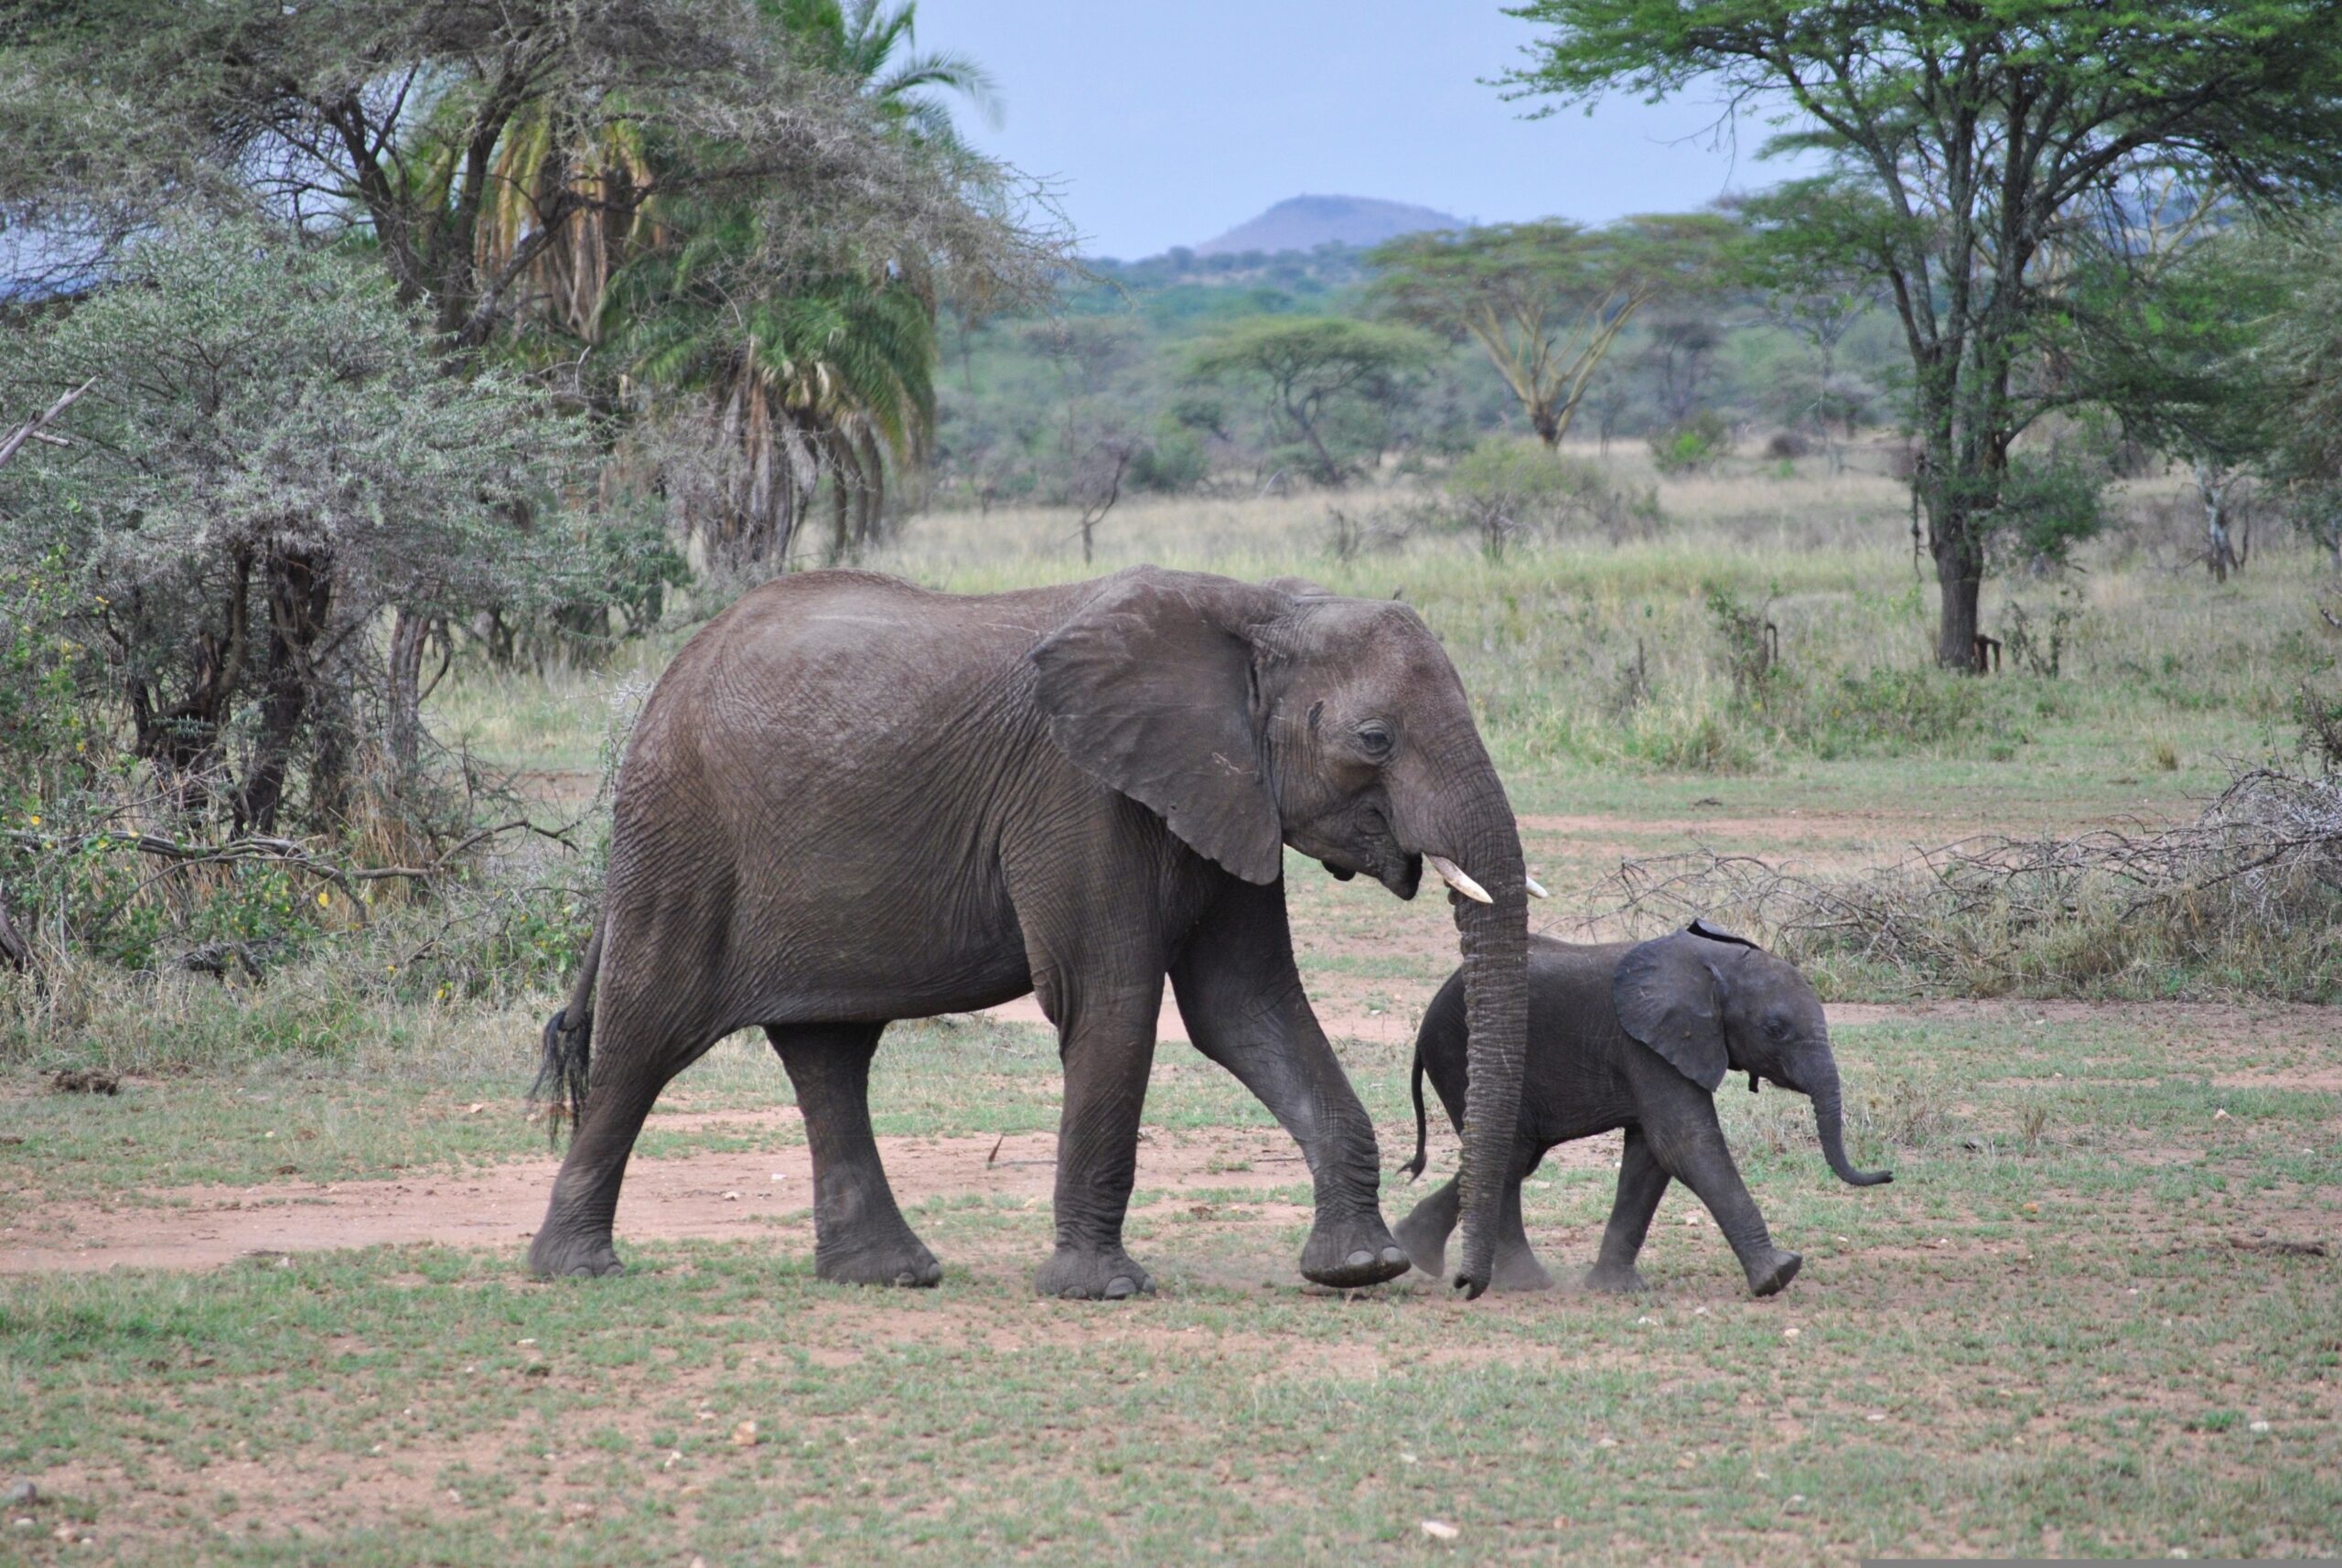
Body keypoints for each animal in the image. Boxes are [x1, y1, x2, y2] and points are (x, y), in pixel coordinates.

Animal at [527, 566, 1536, 1301]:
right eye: (1374, 739)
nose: (1465, 1285)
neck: (1253, 606)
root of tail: (670, 678)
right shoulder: (1082, 795)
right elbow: (1112, 1002)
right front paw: (1102, 1291)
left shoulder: (1224, 794)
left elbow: (1246, 1007)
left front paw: (1358, 1268)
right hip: (681, 830)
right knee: (646, 1033)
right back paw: (576, 1271)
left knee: (829, 1051)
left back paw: (887, 1275)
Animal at [1395, 921, 1892, 1301]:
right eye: (1776, 1030)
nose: (1887, 1174)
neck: (1710, 962)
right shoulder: (1644, 1044)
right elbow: (1684, 1144)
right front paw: (1780, 1274)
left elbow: (1650, 1157)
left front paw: (1615, 1288)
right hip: (1456, 1051)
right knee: (1512, 1154)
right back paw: (1520, 1282)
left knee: (1516, 1156)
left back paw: (1418, 1251)